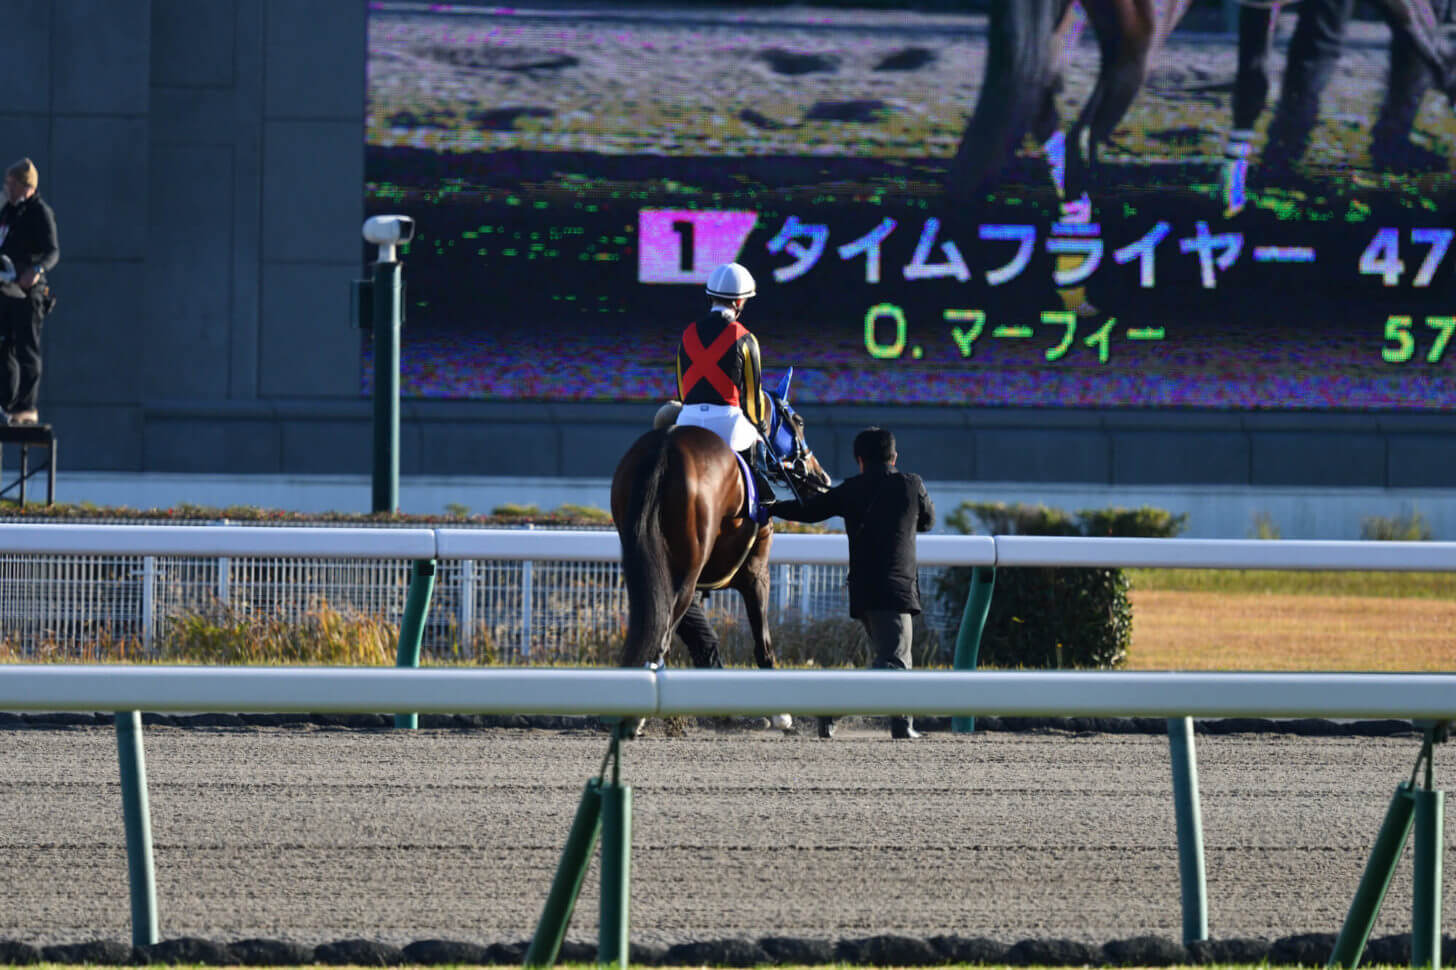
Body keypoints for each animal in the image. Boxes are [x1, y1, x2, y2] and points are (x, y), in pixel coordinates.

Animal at [605, 369, 832, 725]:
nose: (821, 479)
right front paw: (780, 713)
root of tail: (664, 449)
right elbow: (762, 641)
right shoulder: (756, 573)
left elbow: (702, 637)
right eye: (798, 421)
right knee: (663, 632)